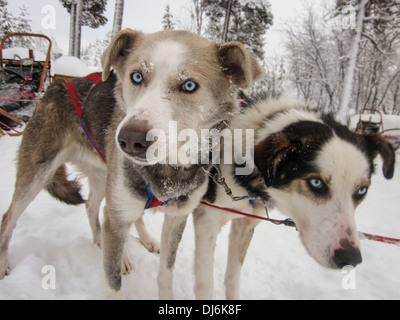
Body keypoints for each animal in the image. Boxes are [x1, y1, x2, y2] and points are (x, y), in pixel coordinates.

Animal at [0, 30, 262, 300]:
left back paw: (115, 240)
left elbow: (165, 274)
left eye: (189, 85)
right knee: (10, 217)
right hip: (39, 173)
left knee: (95, 208)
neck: (165, 170)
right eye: (136, 76)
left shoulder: (177, 218)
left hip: (103, 178)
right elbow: (112, 283)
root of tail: (58, 83)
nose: (130, 139)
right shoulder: (118, 214)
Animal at [194, 98, 394, 300]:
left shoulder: (245, 225)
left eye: (361, 191)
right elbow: (205, 284)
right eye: (316, 183)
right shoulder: (207, 221)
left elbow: (233, 277)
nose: (350, 258)